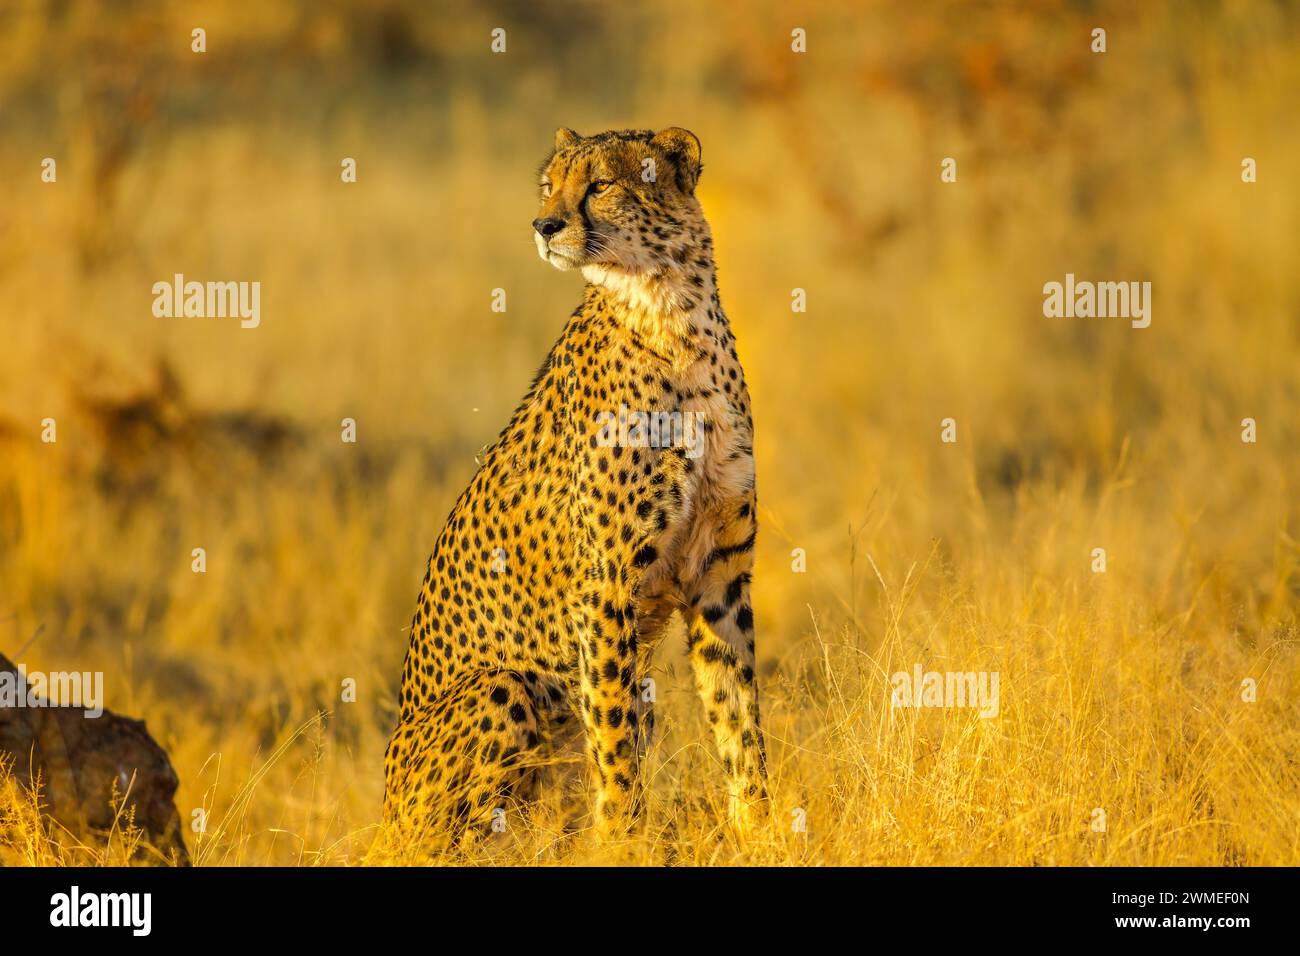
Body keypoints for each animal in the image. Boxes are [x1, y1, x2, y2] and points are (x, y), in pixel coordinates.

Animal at [379, 125, 764, 842]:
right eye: (548, 185)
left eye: (601, 184)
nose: (544, 224)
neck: (672, 312)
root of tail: (383, 816)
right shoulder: (606, 583)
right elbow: (612, 736)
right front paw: (624, 841)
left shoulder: (720, 569)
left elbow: (738, 715)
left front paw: (763, 826)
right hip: (503, 687)